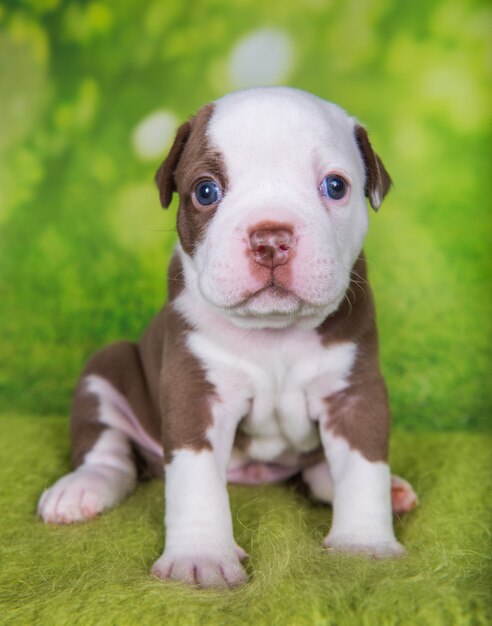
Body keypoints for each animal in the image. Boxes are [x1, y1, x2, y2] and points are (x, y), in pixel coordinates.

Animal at [36, 86, 418, 584]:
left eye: (335, 186)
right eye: (205, 191)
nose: (270, 238)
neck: (273, 333)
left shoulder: (354, 394)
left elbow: (362, 467)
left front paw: (364, 545)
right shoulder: (195, 393)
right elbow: (195, 480)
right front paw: (200, 558)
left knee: (321, 470)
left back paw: (388, 491)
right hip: (107, 368)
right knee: (110, 455)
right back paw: (80, 489)